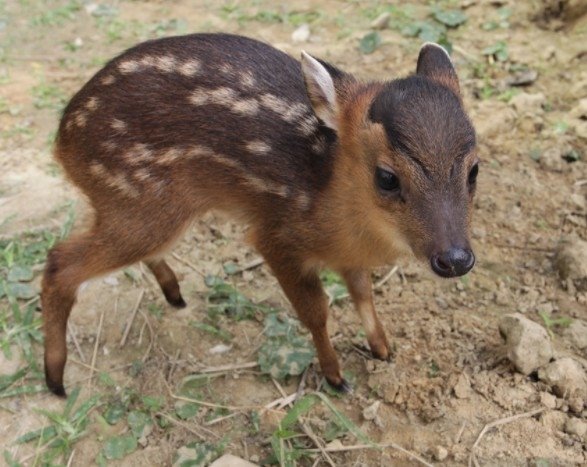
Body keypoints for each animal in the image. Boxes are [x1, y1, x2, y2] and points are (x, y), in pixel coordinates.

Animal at [44, 33, 478, 398]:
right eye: (386, 177)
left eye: (474, 169)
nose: (455, 259)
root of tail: (61, 143)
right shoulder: (276, 237)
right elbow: (316, 312)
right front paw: (335, 377)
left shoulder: (348, 257)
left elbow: (362, 293)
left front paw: (382, 348)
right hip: (141, 202)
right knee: (59, 262)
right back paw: (55, 380)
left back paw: (175, 294)